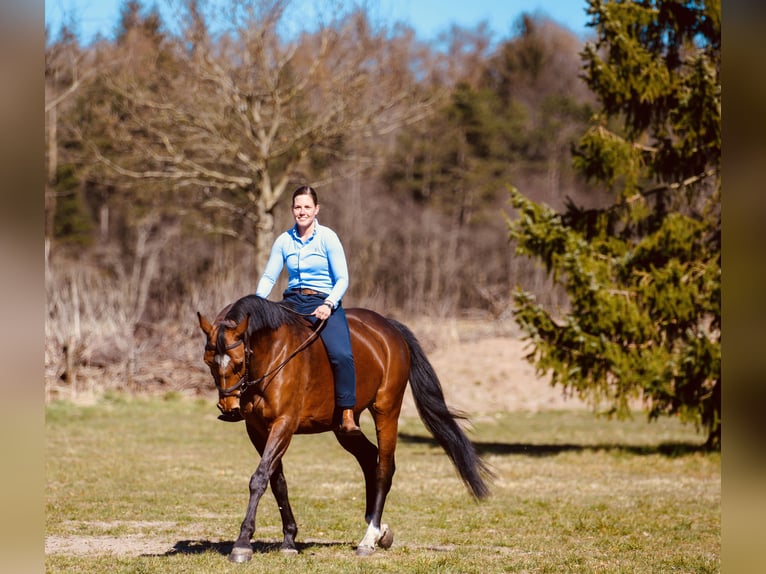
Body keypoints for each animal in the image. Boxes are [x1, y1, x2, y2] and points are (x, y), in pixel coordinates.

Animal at [198, 294, 492, 564]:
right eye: (209, 362)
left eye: (239, 362)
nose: (228, 407)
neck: (271, 356)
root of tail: (389, 327)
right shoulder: (257, 429)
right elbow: (276, 481)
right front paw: (289, 540)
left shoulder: (284, 423)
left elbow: (259, 478)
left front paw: (242, 544)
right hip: (344, 427)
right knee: (369, 459)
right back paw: (378, 528)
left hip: (387, 411)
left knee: (384, 468)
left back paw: (369, 539)